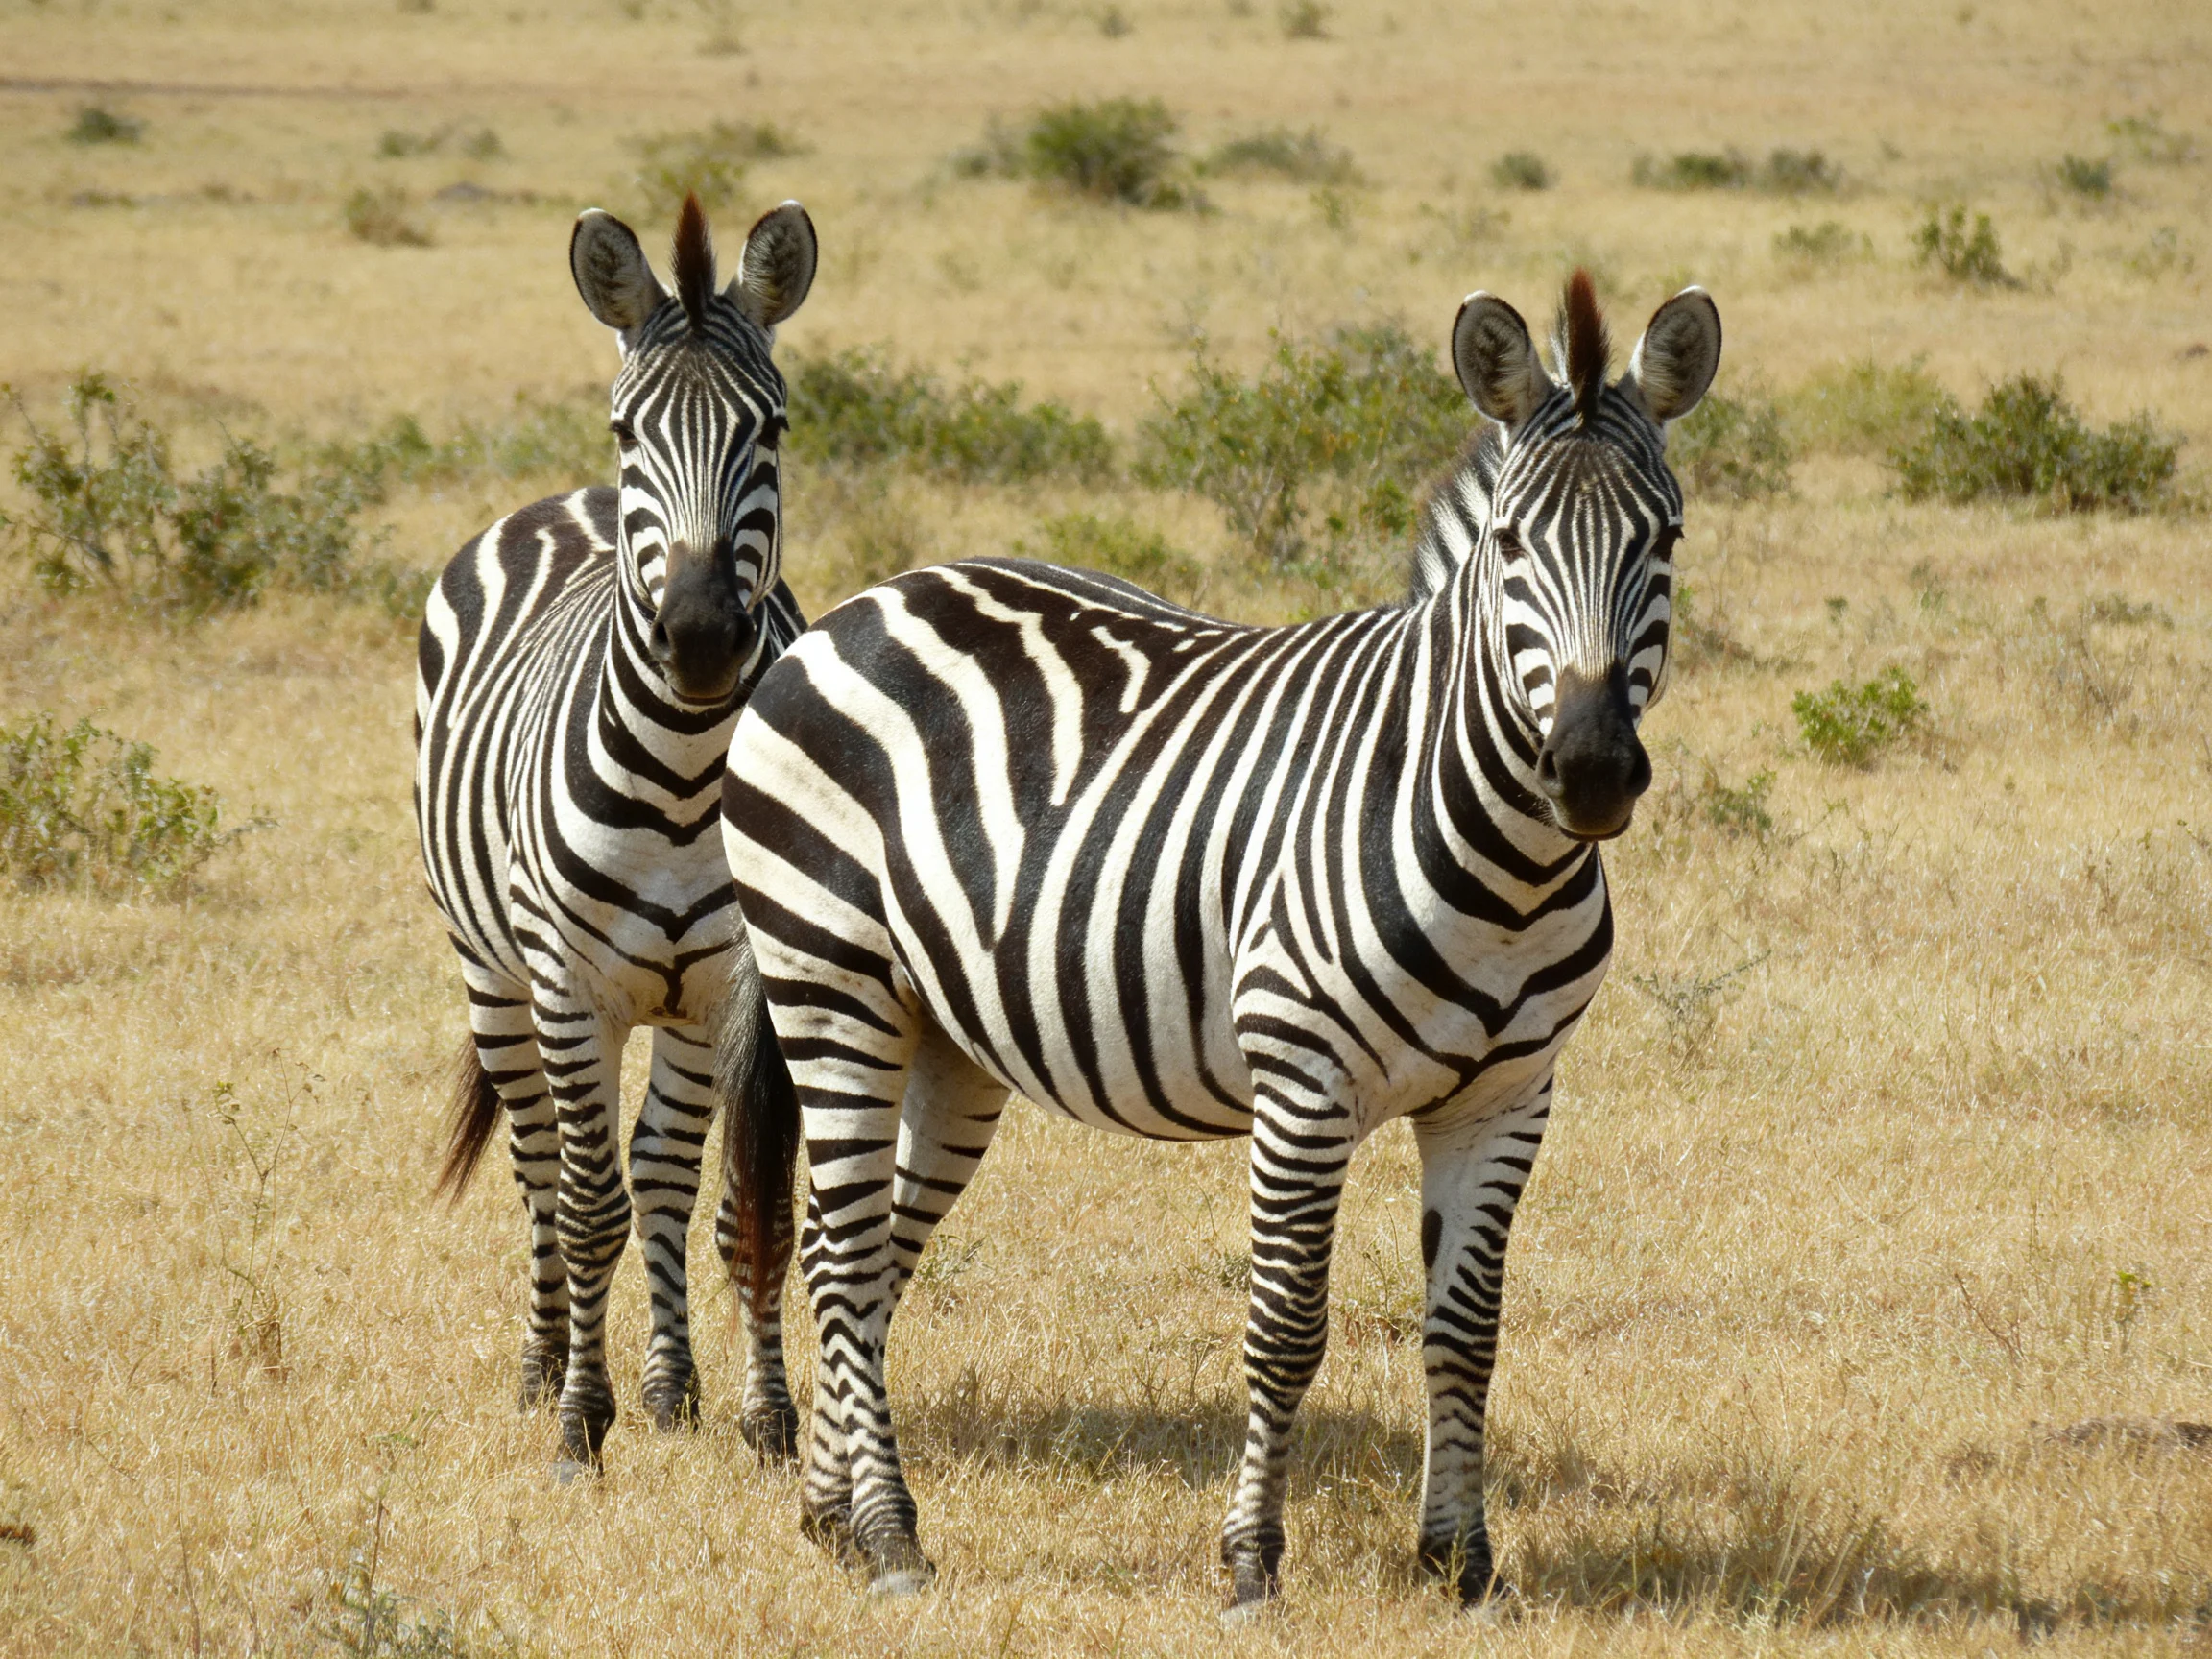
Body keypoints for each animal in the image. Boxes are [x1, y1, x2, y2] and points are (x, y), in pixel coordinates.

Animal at [414, 192, 816, 1471]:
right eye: (628, 430)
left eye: (771, 428)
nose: (700, 638)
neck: (686, 779)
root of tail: (564, 504)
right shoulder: (568, 984)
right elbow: (591, 1208)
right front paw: (580, 1427)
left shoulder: (736, 987)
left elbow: (737, 1205)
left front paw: (765, 1417)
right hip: (493, 973)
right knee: (548, 1166)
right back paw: (547, 1365)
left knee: (660, 1171)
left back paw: (668, 1382)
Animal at [718, 270, 1723, 1606]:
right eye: (1512, 544)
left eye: (1665, 541)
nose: (1595, 770)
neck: (1498, 854)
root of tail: (855, 606)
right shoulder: (1304, 1079)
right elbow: (1287, 1326)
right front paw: (1252, 1559)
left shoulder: (1508, 1096)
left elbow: (1467, 1332)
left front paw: (1459, 1562)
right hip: (830, 982)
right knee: (835, 1254)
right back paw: (890, 1535)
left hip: (946, 1035)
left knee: (864, 1252)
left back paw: (832, 1514)